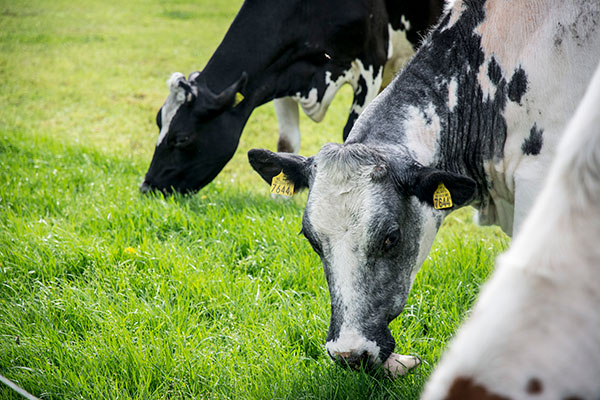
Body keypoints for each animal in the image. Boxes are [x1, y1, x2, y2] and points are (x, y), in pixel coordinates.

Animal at [138, 0, 442, 194]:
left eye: (182, 138)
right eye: (158, 122)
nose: (147, 187)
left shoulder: (370, 63)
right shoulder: (280, 75)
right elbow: (286, 143)